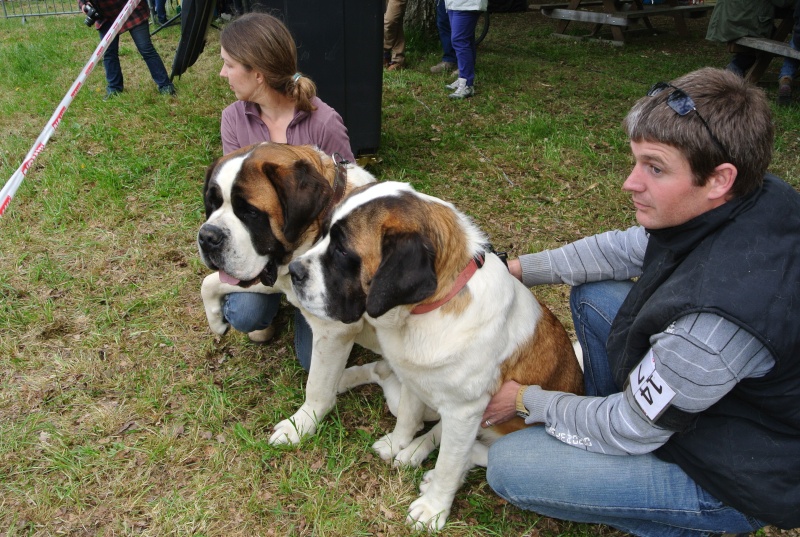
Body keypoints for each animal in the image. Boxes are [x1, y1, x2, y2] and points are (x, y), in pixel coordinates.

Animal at [195, 141, 382, 444]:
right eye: (212, 203)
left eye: (250, 212)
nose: (207, 236)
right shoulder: (275, 276)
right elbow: (210, 281)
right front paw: (216, 320)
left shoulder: (333, 332)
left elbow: (317, 385)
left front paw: (300, 425)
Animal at [290, 182, 584, 528]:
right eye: (322, 233)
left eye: (341, 251)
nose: (293, 271)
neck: (429, 309)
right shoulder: (415, 378)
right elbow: (408, 415)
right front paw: (398, 443)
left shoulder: (465, 410)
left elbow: (449, 464)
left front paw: (433, 508)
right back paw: (413, 449)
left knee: (480, 454)